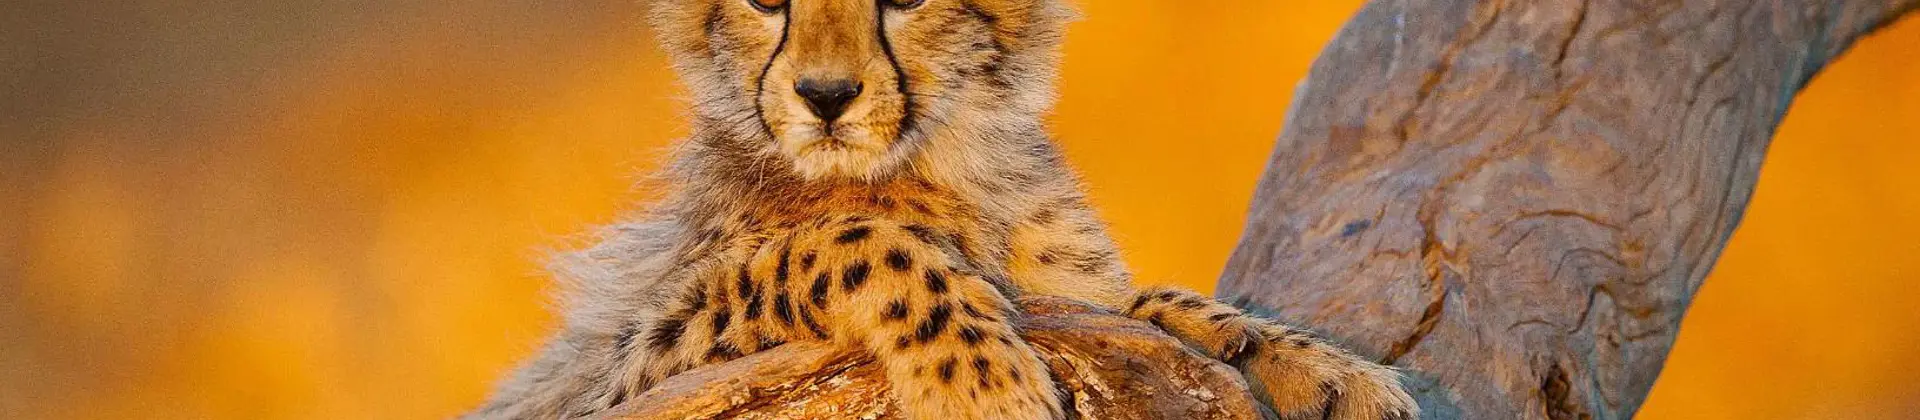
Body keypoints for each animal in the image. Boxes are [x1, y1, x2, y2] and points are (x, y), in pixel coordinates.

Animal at [465, 0, 1419, 419]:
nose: (826, 96)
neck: (945, 161)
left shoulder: (1078, 294)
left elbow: (1150, 302)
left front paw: (1326, 369)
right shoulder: (634, 369)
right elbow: (853, 240)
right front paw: (983, 382)